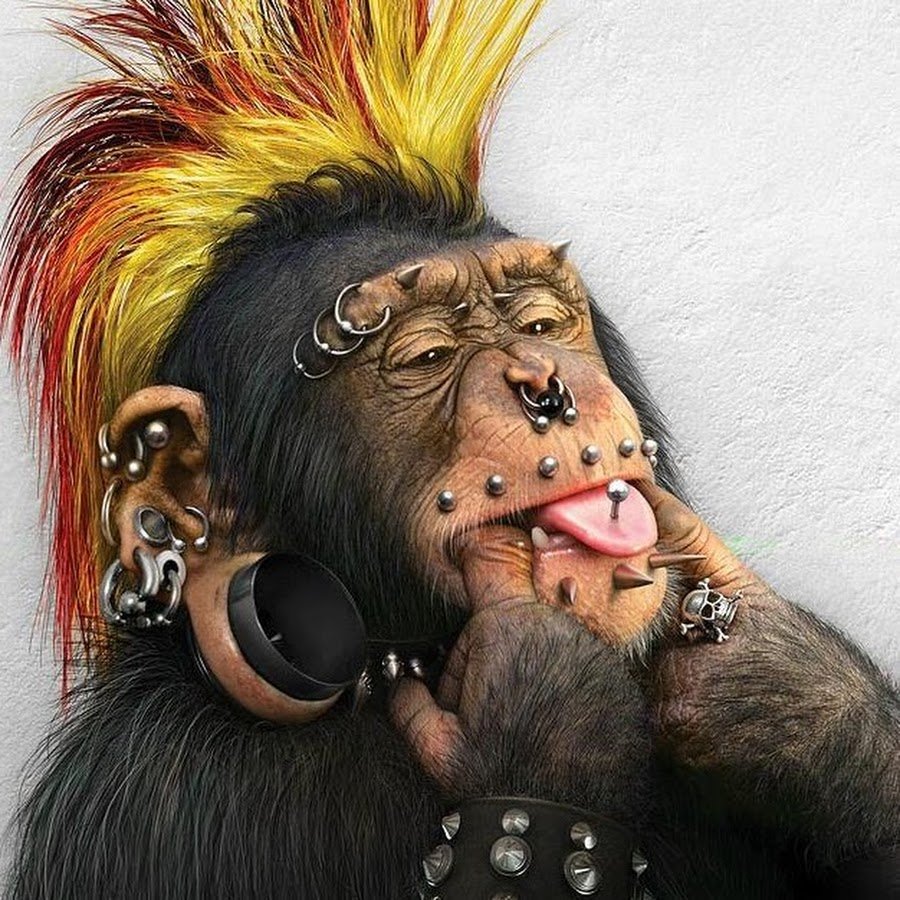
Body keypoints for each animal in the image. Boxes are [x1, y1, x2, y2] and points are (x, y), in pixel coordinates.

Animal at [2, 3, 897, 899]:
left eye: (541, 322)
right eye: (426, 356)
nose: (545, 385)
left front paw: (785, 698)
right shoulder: (162, 798)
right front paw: (544, 702)